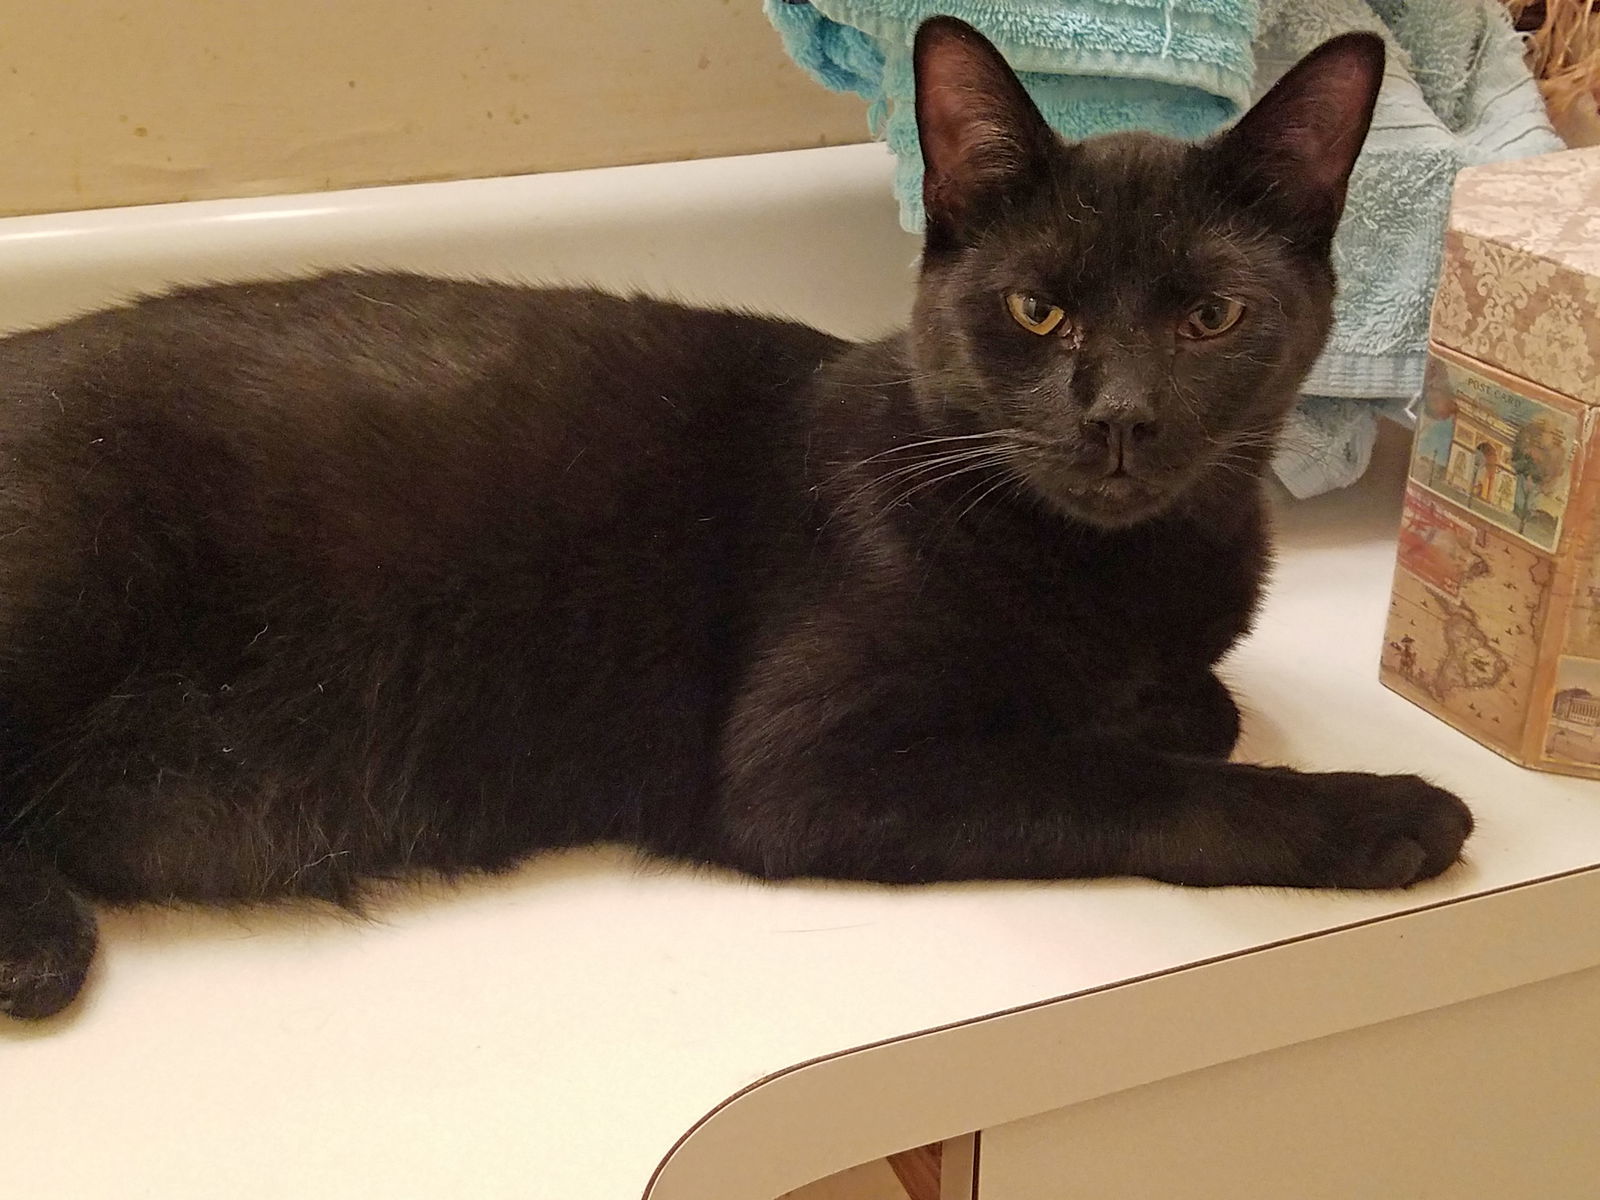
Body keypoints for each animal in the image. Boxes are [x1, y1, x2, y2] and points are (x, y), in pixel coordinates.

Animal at [0, 18, 1465, 1017]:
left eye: (1210, 316)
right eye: (1039, 310)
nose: (1119, 418)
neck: (1114, 567)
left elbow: (1180, 713)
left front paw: (1164, 704)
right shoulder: (804, 767)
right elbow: (1122, 782)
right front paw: (1368, 811)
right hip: (71, 566)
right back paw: (36, 943)